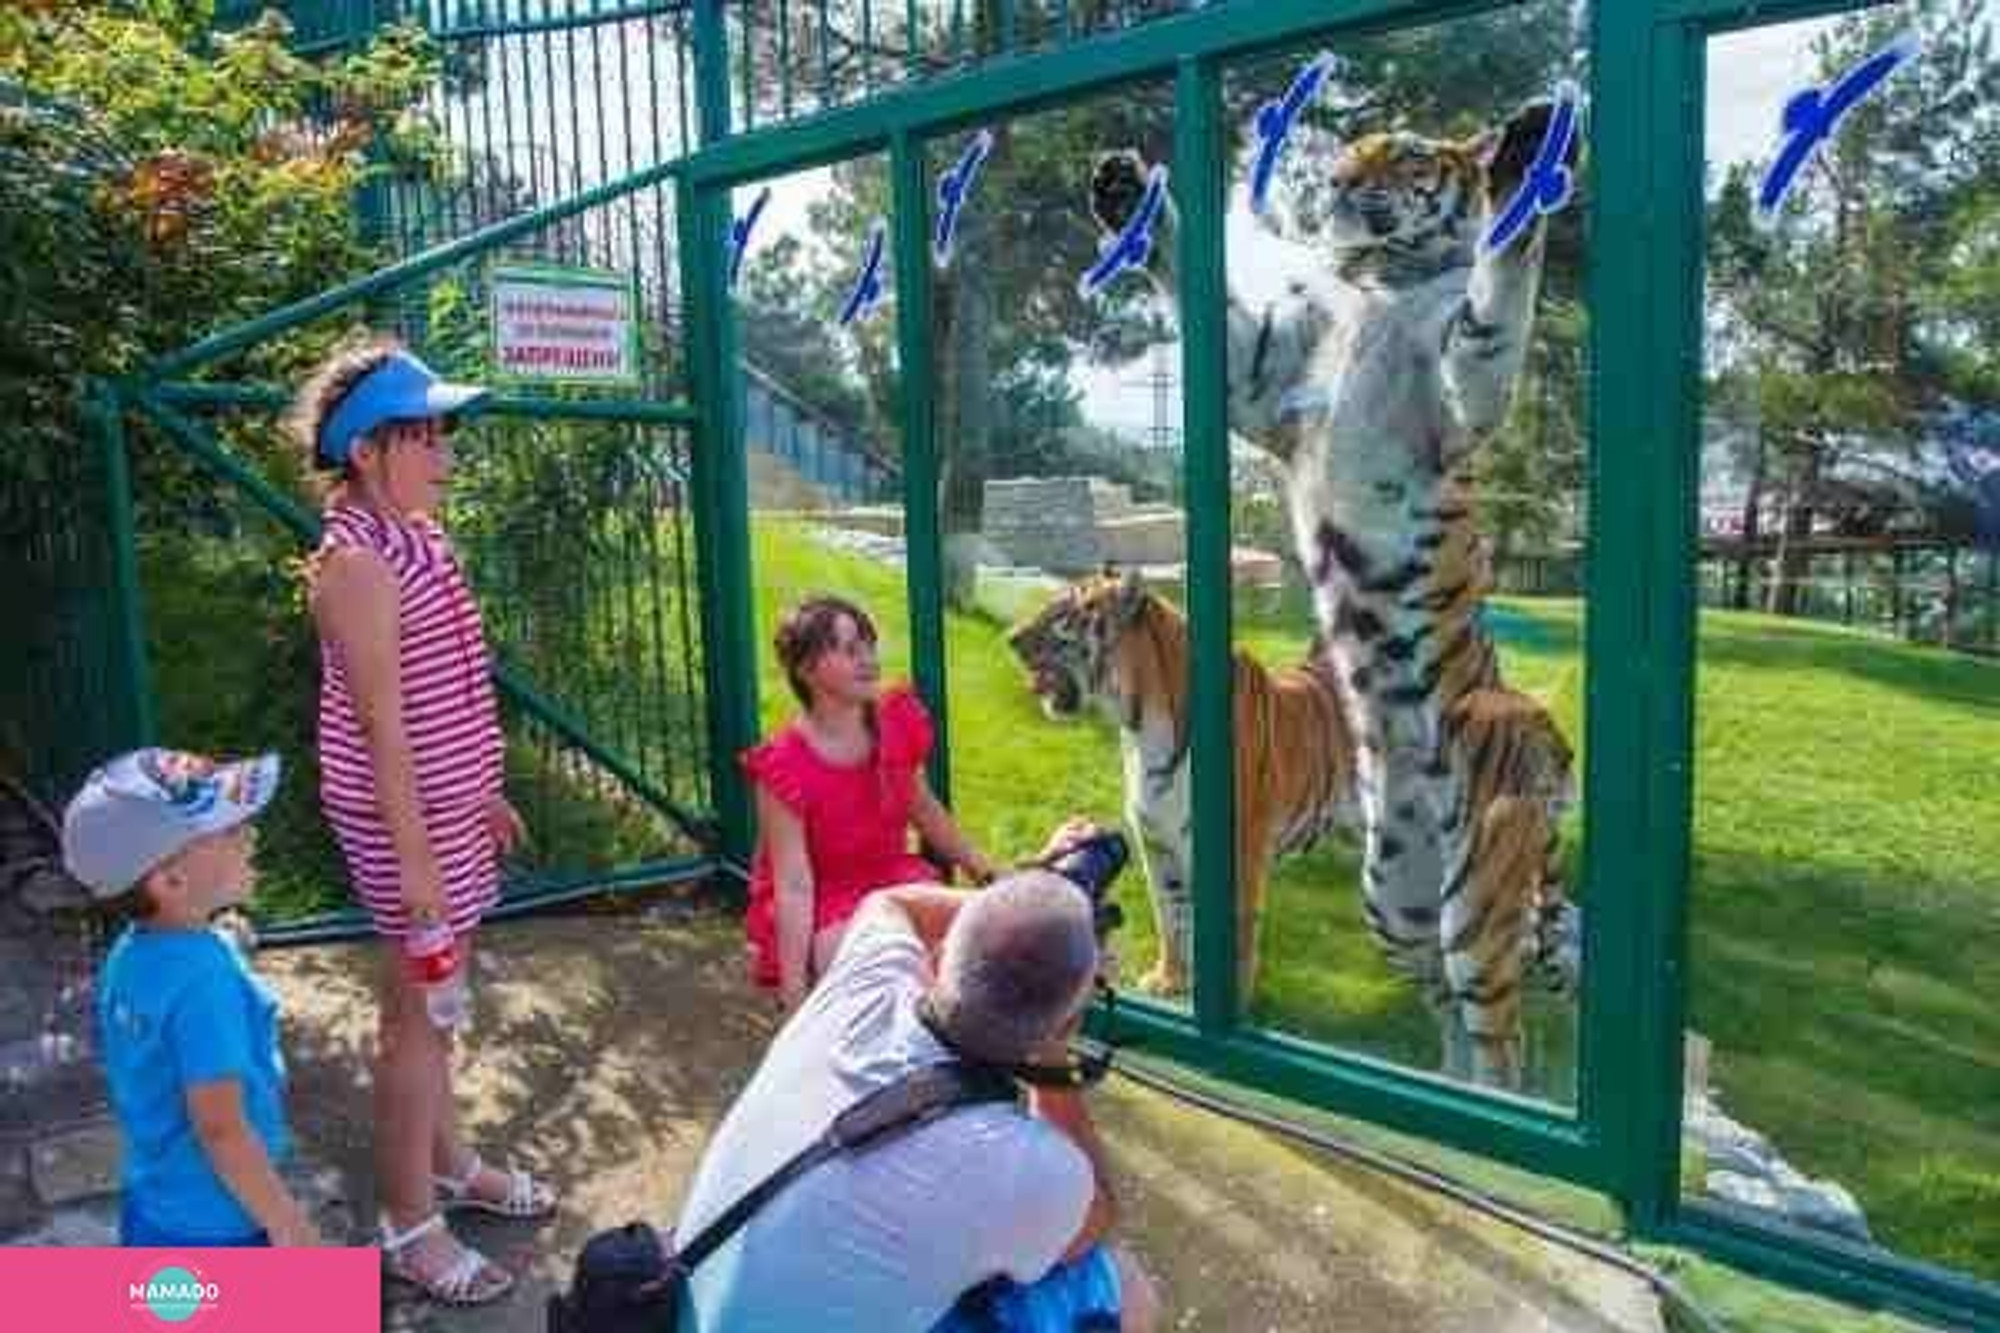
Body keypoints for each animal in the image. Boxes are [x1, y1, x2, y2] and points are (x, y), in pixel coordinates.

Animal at [1088, 98, 1584, 1088]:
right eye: (1350, 155)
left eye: (1403, 156)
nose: (1337, 182)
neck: (1379, 281)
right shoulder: (1261, 377)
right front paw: (1128, 195)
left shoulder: (1462, 390)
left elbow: (1497, 298)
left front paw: (1525, 160)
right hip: (1396, 897)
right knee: (1451, 1001)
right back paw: (1444, 1079)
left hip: (1478, 895)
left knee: (1503, 1029)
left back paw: (1493, 1095)